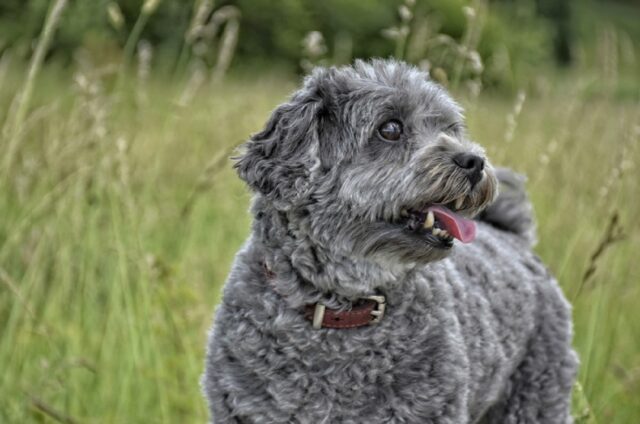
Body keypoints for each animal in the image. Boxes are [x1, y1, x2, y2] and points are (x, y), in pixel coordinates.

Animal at [204, 60, 580, 424]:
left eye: (449, 129)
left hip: (537, 397)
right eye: (390, 129)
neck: (341, 311)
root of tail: (513, 237)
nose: (474, 161)